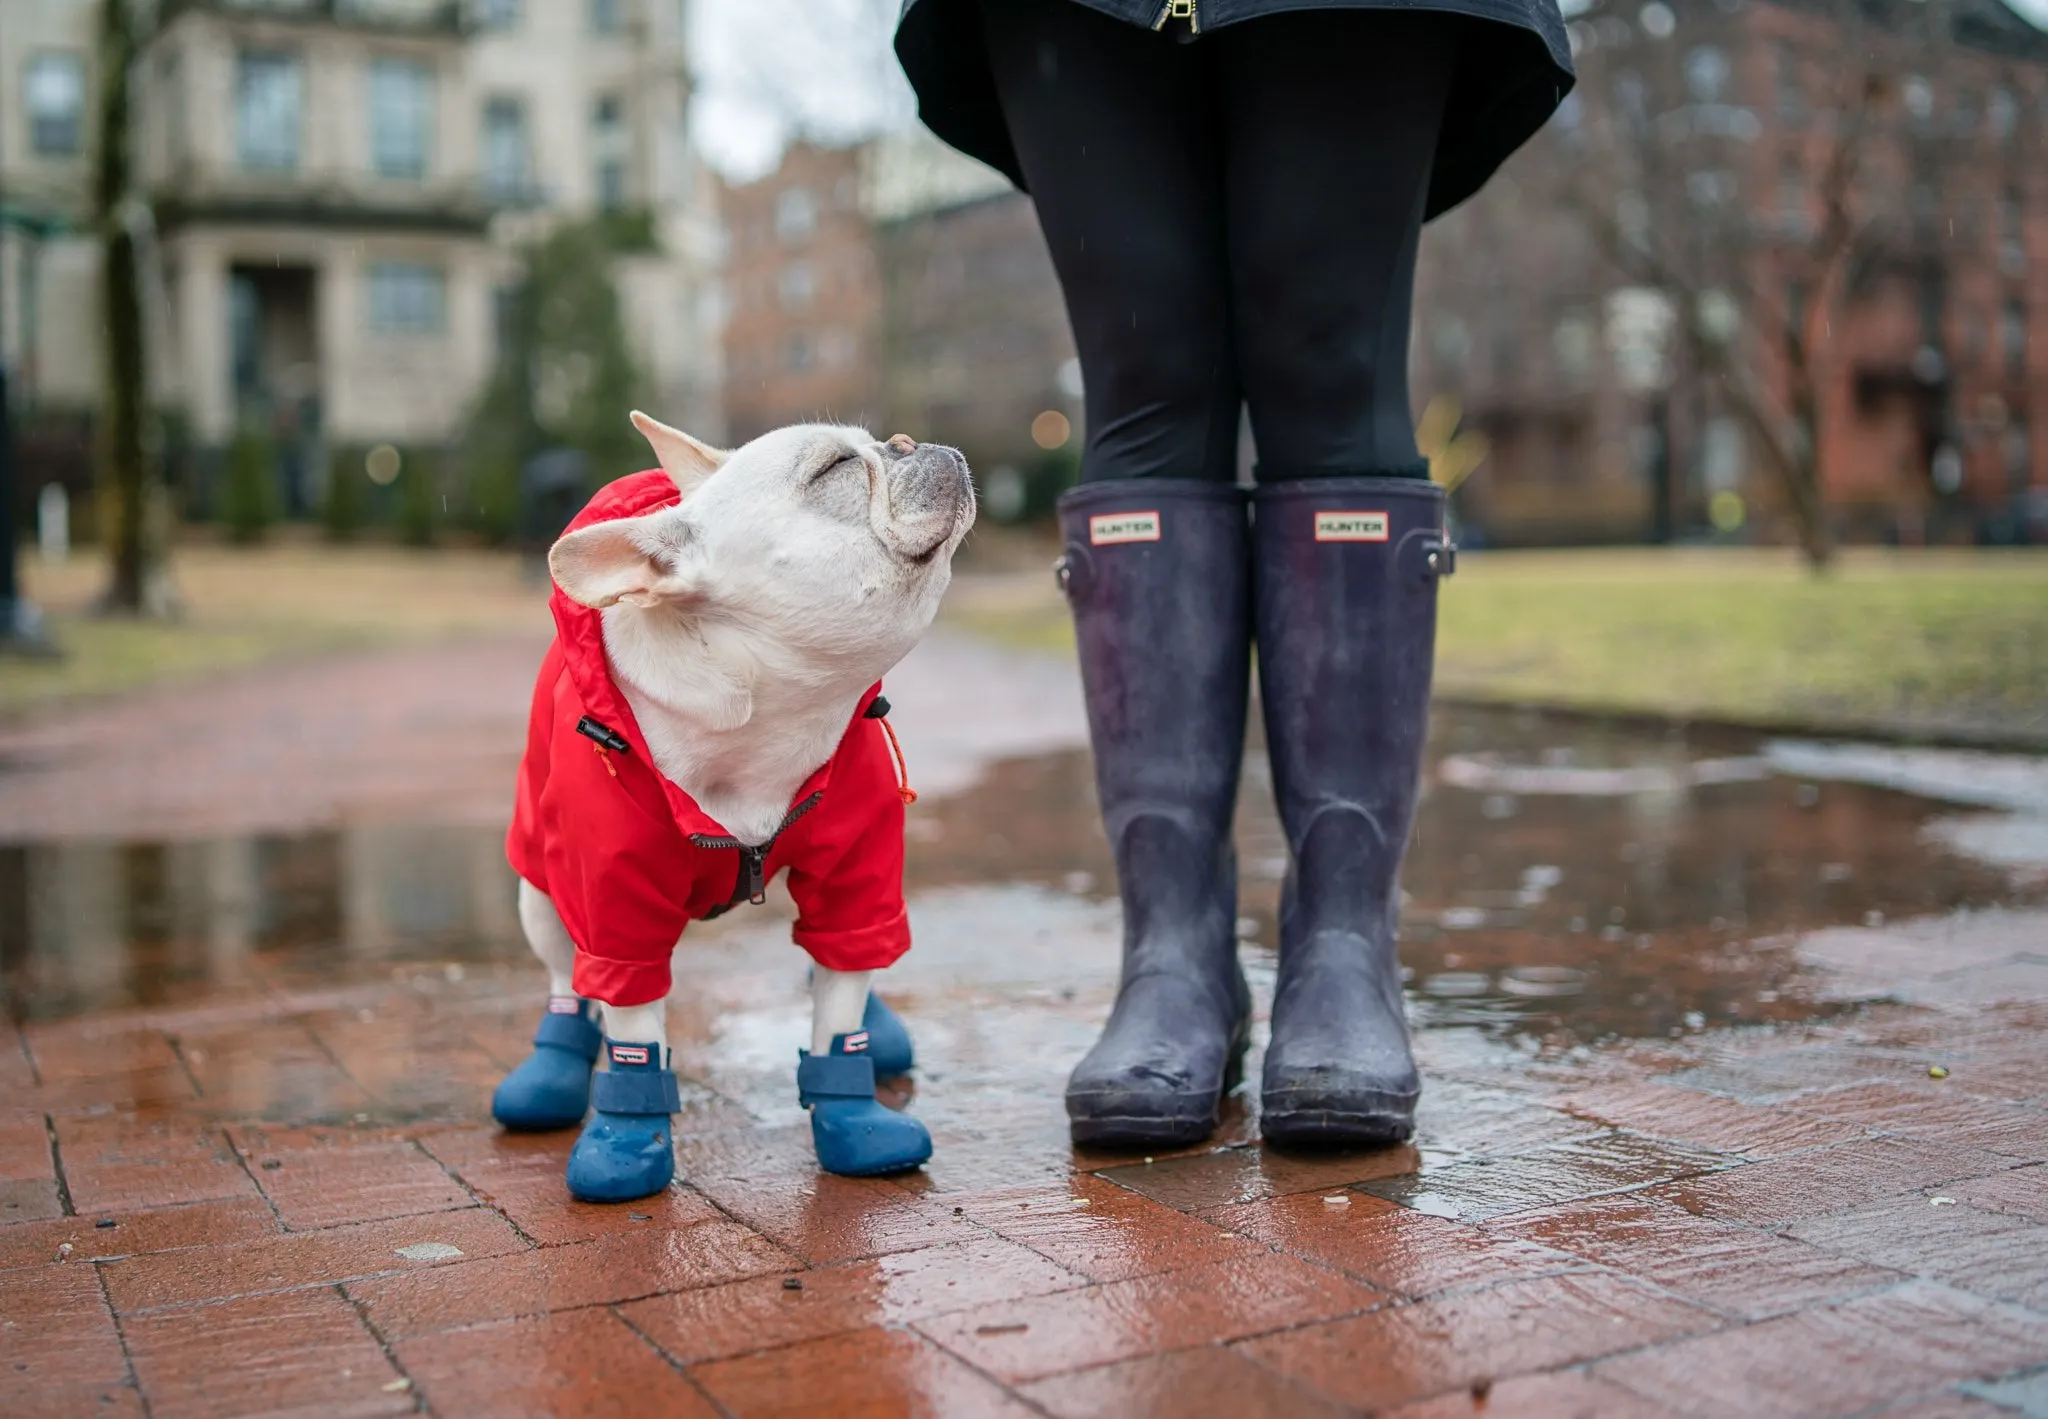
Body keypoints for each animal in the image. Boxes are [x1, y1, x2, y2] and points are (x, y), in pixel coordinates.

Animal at [495, 415, 974, 1204]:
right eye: (835, 468)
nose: (909, 442)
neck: (769, 711)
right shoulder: (614, 905)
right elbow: (632, 1025)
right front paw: (626, 1144)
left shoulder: (857, 873)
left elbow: (841, 996)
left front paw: (857, 1123)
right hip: (539, 890)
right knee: (568, 980)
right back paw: (552, 1073)